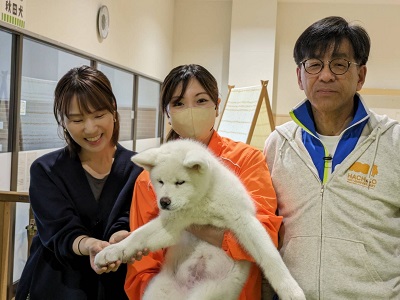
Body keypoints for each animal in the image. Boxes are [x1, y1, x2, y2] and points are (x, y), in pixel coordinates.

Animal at [94, 139, 306, 300]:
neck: (200, 203)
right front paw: (110, 252)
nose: (164, 202)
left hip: (209, 291)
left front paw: (290, 290)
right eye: (160, 181)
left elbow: (270, 257)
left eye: (180, 182)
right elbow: (137, 236)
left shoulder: (244, 220)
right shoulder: (173, 224)